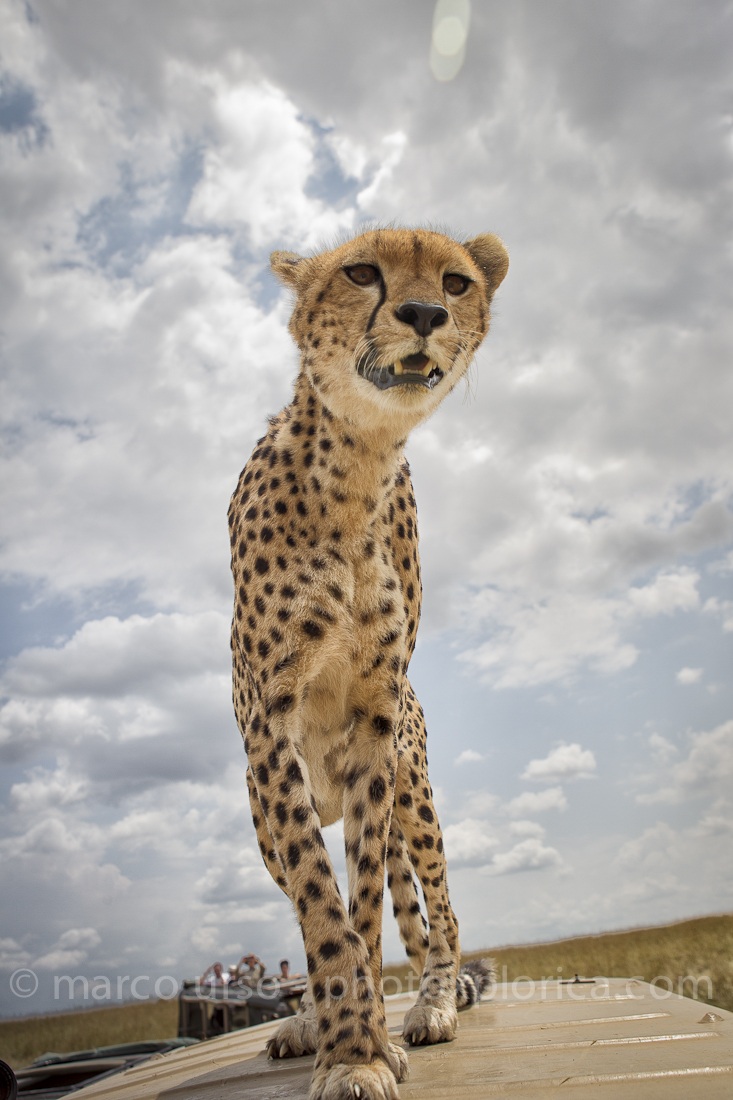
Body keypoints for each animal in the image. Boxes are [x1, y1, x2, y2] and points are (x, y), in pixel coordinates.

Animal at [228, 226, 508, 1100]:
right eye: (359, 272)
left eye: (454, 282)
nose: (421, 314)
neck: (356, 465)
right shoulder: (272, 723)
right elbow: (317, 899)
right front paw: (345, 1042)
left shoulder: (376, 719)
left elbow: (359, 904)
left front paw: (365, 1041)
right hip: (258, 814)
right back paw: (312, 1019)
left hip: (412, 790)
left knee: (438, 911)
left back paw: (436, 1001)